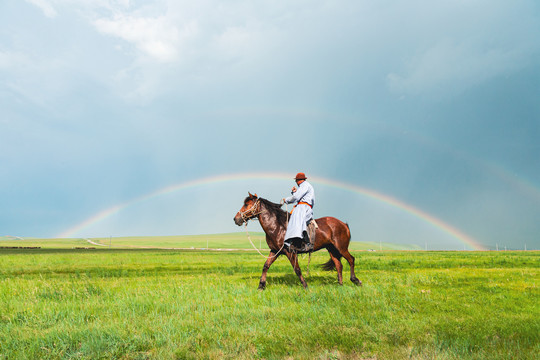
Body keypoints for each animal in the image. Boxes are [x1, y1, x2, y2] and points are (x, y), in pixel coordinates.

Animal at [233, 191, 362, 290]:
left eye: (246, 204)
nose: (236, 219)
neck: (278, 226)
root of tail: (343, 224)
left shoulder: (290, 252)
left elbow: (297, 269)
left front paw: (305, 286)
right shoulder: (275, 251)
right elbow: (266, 266)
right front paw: (261, 286)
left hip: (341, 247)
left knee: (351, 259)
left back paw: (355, 280)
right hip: (331, 249)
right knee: (339, 265)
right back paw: (340, 284)